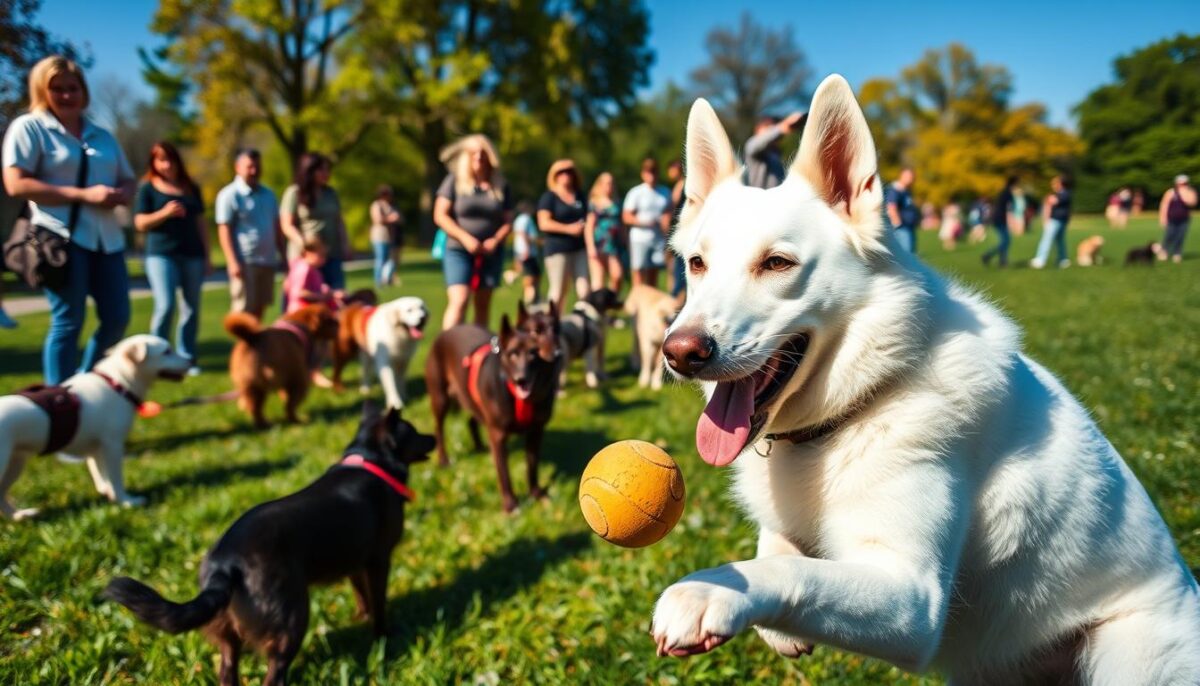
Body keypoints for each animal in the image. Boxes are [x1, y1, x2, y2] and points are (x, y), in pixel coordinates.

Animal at [0, 333, 189, 520]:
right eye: (166, 351)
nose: (191, 360)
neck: (118, 382)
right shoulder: (113, 445)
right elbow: (115, 478)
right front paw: (125, 501)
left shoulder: (95, 449)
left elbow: (100, 473)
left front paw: (107, 491)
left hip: (15, 463)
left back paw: (19, 515)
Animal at [102, 402, 432, 686]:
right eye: (414, 431)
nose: (432, 437)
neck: (368, 460)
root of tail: (226, 564)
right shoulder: (379, 560)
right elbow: (378, 602)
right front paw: (383, 634)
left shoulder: (355, 563)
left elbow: (362, 596)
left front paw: (361, 617)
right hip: (291, 621)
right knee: (273, 676)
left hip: (228, 635)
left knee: (227, 672)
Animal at [427, 307, 561, 510]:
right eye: (513, 354)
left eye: (533, 354)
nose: (521, 379)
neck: (521, 398)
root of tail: (445, 333)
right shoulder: (498, 436)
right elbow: (503, 472)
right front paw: (510, 504)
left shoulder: (536, 431)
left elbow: (532, 465)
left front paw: (536, 493)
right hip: (440, 399)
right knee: (439, 429)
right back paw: (443, 459)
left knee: (472, 421)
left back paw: (479, 446)